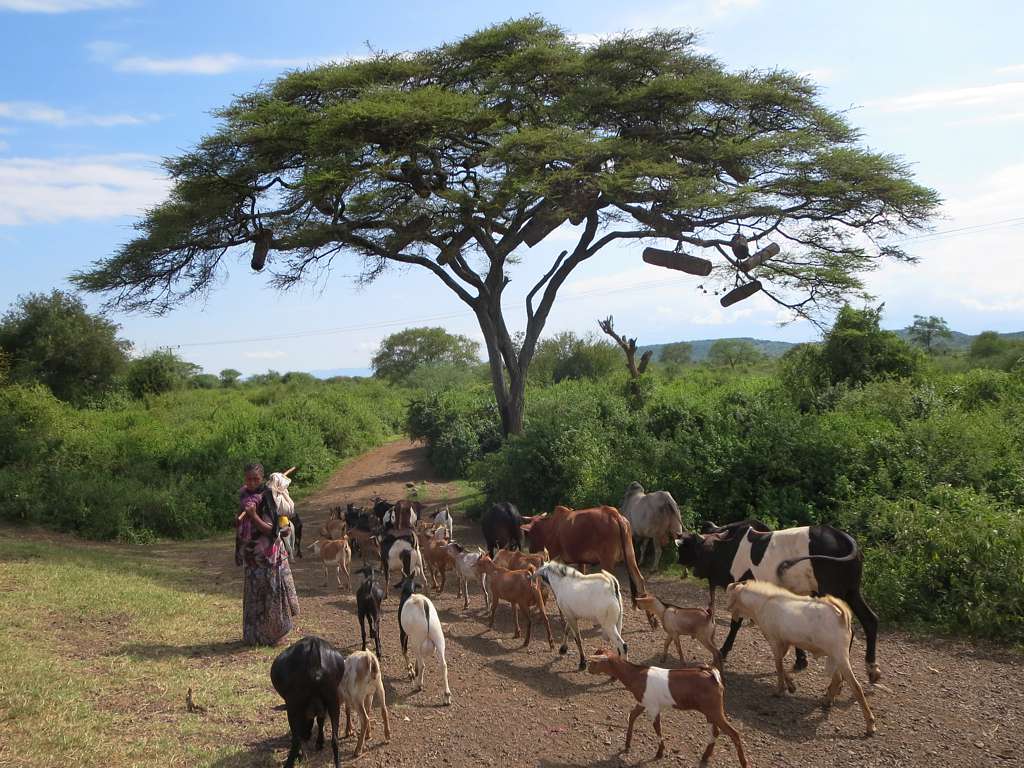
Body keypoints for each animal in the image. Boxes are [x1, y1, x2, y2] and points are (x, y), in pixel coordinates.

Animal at [520, 505, 655, 626]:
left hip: (607, 560)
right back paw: (651, 618)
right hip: (630, 556)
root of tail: (614, 514)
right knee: (639, 580)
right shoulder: (581, 561)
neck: (549, 528)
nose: (530, 550)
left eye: (530, 533)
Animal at [589, 651, 749, 768]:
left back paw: (744, 763)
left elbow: (657, 727)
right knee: (716, 731)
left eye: (595, 662)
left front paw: (659, 753)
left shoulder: (653, 707)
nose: (588, 669)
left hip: (715, 710)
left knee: (734, 733)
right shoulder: (643, 703)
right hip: (710, 711)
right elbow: (632, 716)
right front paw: (627, 745)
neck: (636, 675)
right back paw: (705, 757)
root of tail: (712, 675)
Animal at [675, 524, 884, 684]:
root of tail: (842, 536)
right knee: (871, 620)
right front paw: (801, 660)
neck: (730, 548)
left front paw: (724, 650)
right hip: (852, 591)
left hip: (834, 593)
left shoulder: (742, 587)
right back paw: (871, 668)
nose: (690, 569)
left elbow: (735, 624)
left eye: (692, 548)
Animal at [724, 581, 876, 741]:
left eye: (729, 595)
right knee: (838, 678)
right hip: (833, 657)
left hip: (840, 655)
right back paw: (827, 701)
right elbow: (781, 664)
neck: (763, 603)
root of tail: (842, 616)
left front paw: (779, 690)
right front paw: (791, 686)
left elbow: (778, 665)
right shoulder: (784, 643)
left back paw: (870, 725)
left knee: (856, 687)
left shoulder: (775, 641)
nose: (727, 608)